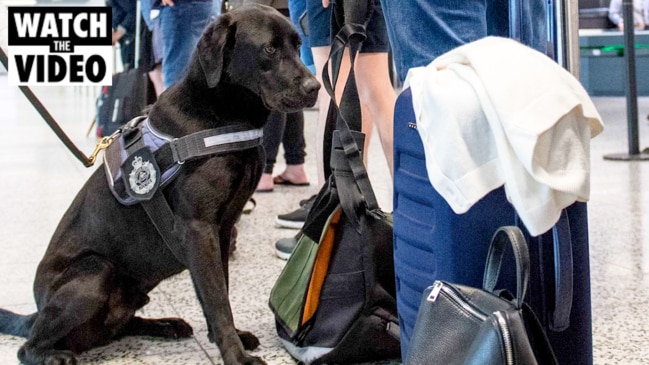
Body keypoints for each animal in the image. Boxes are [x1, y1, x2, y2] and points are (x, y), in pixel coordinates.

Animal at [0, 3, 318, 364]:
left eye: (298, 45)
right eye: (270, 49)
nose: (315, 87)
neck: (220, 114)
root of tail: (36, 311)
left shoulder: (221, 230)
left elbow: (219, 290)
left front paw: (231, 338)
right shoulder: (198, 229)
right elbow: (217, 300)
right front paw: (235, 355)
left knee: (118, 326)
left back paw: (165, 325)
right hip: (95, 271)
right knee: (28, 346)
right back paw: (54, 355)